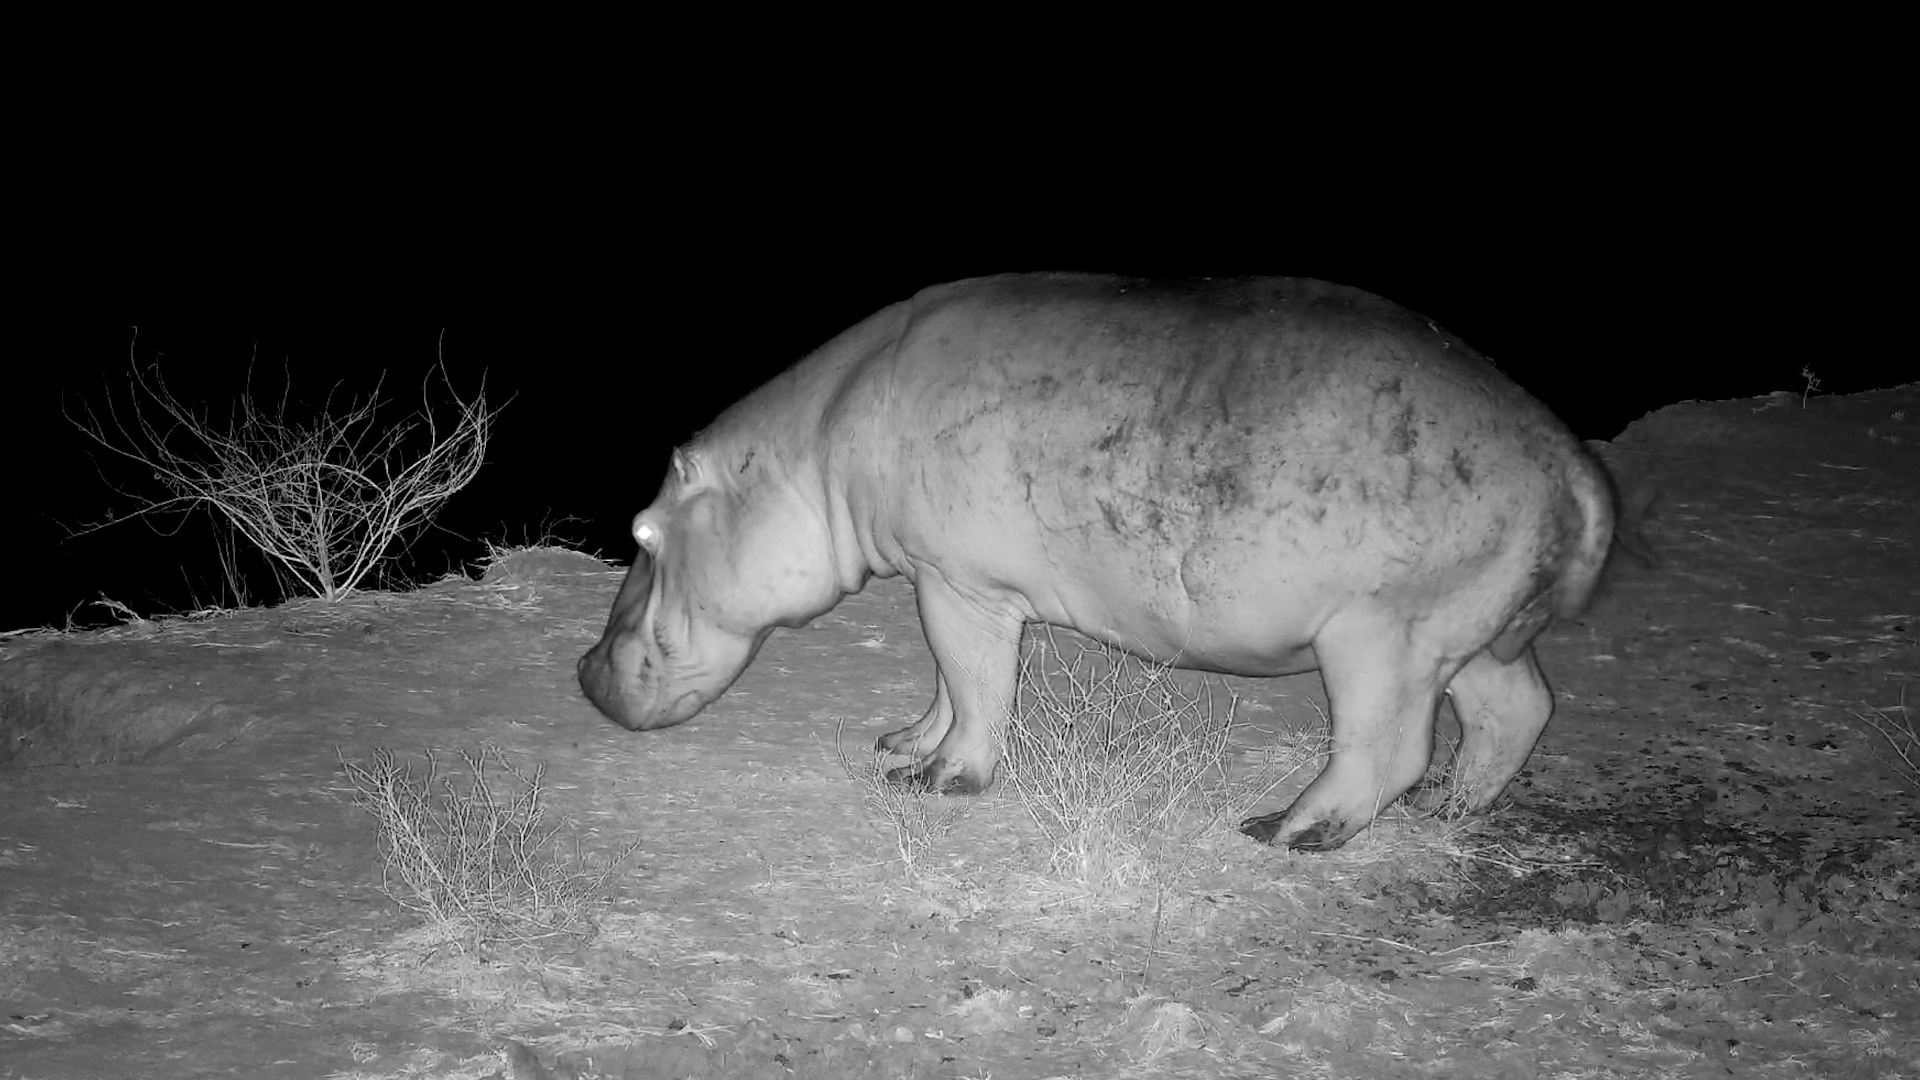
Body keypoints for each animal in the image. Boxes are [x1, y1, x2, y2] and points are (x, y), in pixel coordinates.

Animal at [578, 274, 1614, 851]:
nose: (583, 669)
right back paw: (1452, 812)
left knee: (1385, 747)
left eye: (641, 531)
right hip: (1468, 633)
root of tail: (1569, 459)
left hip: (1378, 637)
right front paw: (900, 746)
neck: (809, 450)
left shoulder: (960, 585)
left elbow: (977, 686)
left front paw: (939, 783)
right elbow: (947, 684)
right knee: (1515, 708)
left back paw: (1284, 831)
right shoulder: (940, 581)